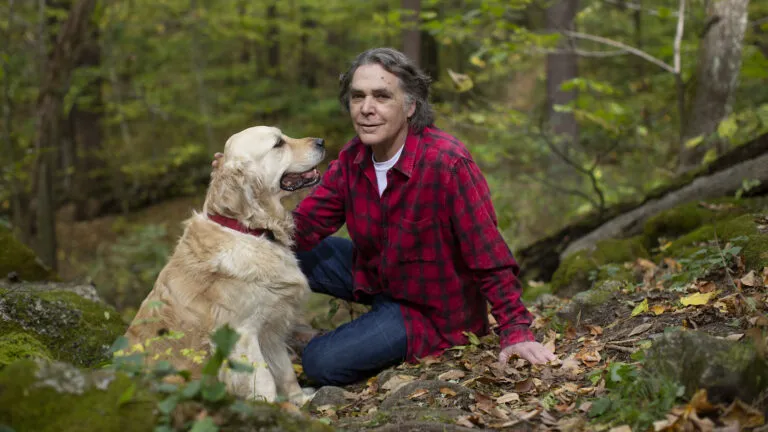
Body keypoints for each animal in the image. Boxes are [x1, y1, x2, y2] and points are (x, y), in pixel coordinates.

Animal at [122, 125, 324, 404]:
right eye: (278, 144)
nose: (321, 141)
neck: (248, 229)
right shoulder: (241, 334)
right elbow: (263, 380)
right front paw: (272, 408)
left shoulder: (270, 325)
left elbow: (284, 370)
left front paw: (298, 400)